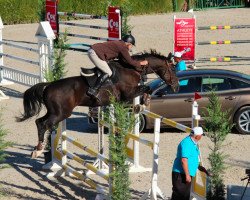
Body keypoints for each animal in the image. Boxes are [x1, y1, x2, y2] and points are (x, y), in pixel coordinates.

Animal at [16, 49, 179, 157]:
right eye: (172, 68)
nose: (176, 86)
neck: (131, 69)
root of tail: (48, 86)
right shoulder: (128, 93)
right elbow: (147, 88)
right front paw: (145, 101)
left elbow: (145, 89)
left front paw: (143, 103)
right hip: (61, 113)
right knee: (43, 124)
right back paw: (38, 149)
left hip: (54, 112)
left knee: (39, 121)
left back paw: (38, 148)